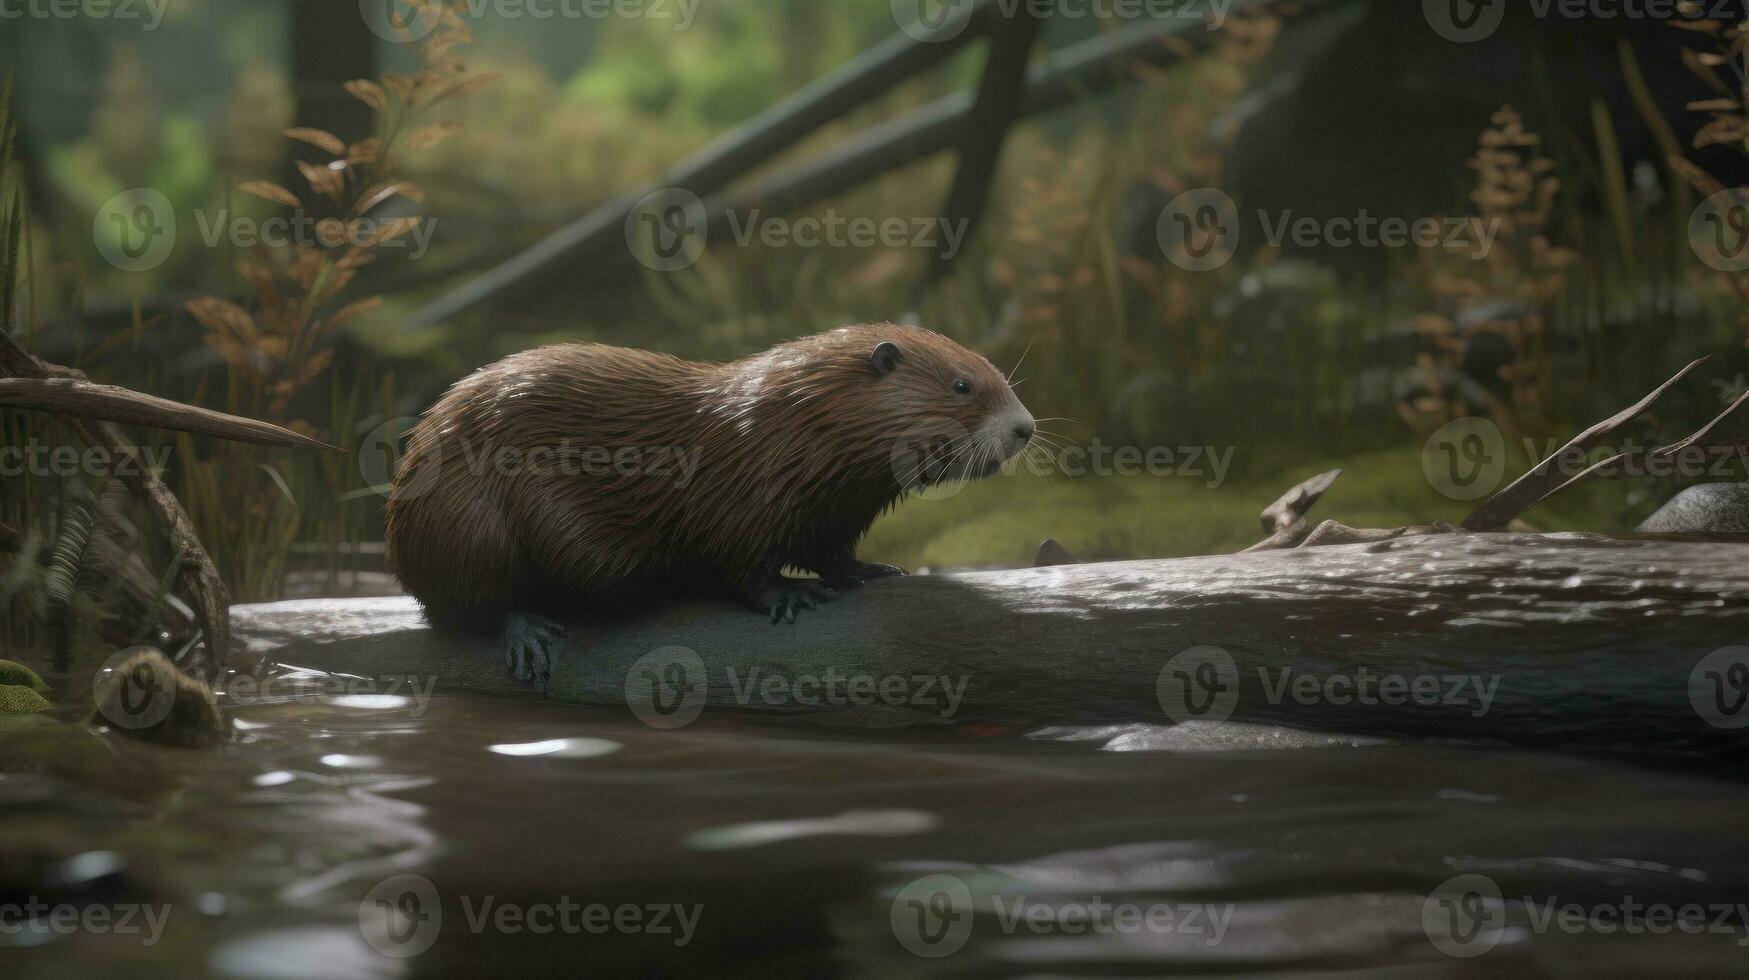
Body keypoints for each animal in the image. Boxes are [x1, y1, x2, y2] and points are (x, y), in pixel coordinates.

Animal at [388, 322, 1028, 689]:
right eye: (963, 385)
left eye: (998, 375)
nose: (1025, 427)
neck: (788, 432)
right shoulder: (736, 499)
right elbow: (736, 563)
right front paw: (789, 595)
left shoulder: (833, 512)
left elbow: (830, 551)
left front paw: (869, 569)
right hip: (468, 522)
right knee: (474, 602)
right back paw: (529, 634)